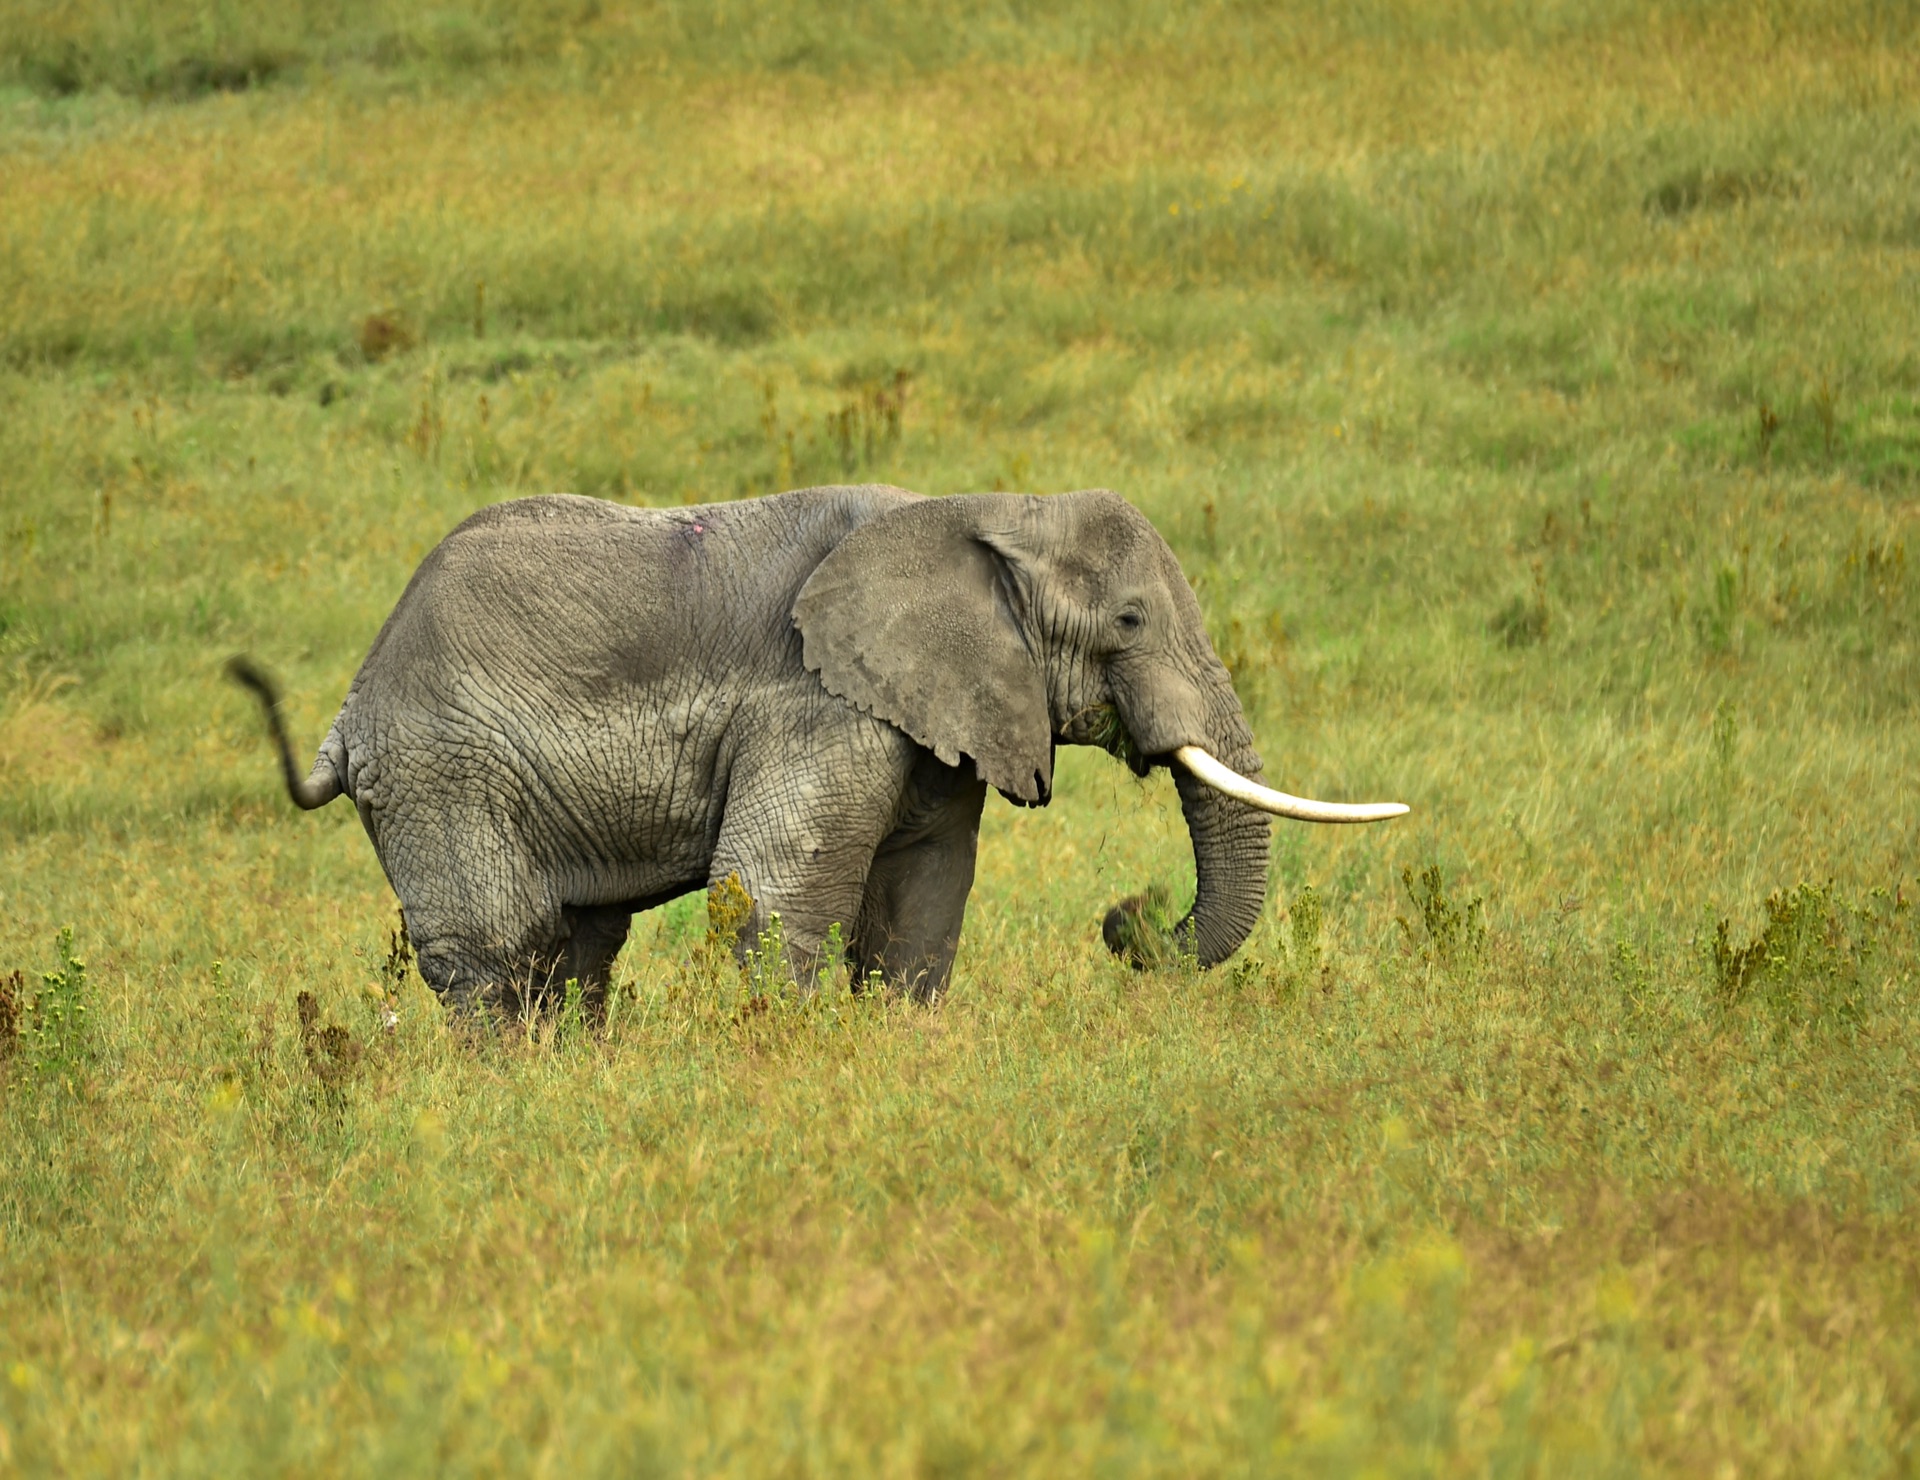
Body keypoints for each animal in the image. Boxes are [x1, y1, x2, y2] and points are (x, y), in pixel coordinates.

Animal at [236, 485, 1413, 1021]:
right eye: (1130, 620)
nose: (1125, 918)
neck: (980, 509)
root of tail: (351, 705)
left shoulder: (939, 719)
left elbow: (921, 903)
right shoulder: (817, 709)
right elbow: (772, 898)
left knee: (578, 947)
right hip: (445, 769)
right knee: (503, 950)